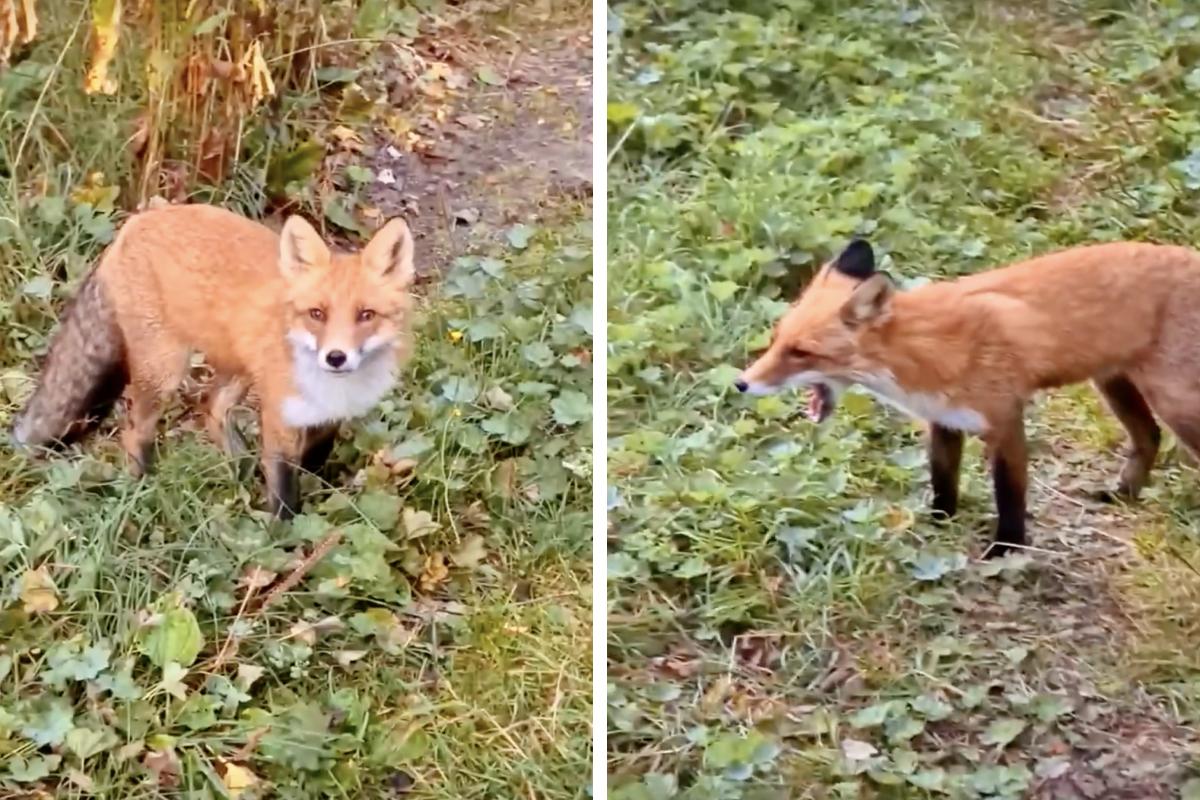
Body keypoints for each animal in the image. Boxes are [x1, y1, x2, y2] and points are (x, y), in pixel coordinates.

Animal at [11, 205, 417, 520]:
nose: (335, 357)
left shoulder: (329, 417)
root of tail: (134, 222)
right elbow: (285, 489)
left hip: (237, 367)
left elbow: (315, 464)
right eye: (317, 314)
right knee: (136, 432)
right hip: (166, 369)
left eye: (366, 315)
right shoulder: (280, 415)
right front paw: (284, 542)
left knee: (212, 410)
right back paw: (143, 488)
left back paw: (240, 470)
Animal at [734, 237, 1200, 556]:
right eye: (777, 341)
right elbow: (943, 482)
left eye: (801, 352)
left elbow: (1009, 496)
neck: (921, 351)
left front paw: (1007, 550)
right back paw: (1124, 494)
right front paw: (937, 524)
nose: (741, 383)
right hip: (1114, 384)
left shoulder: (1006, 420)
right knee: (1149, 437)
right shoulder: (944, 420)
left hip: (1174, 401)